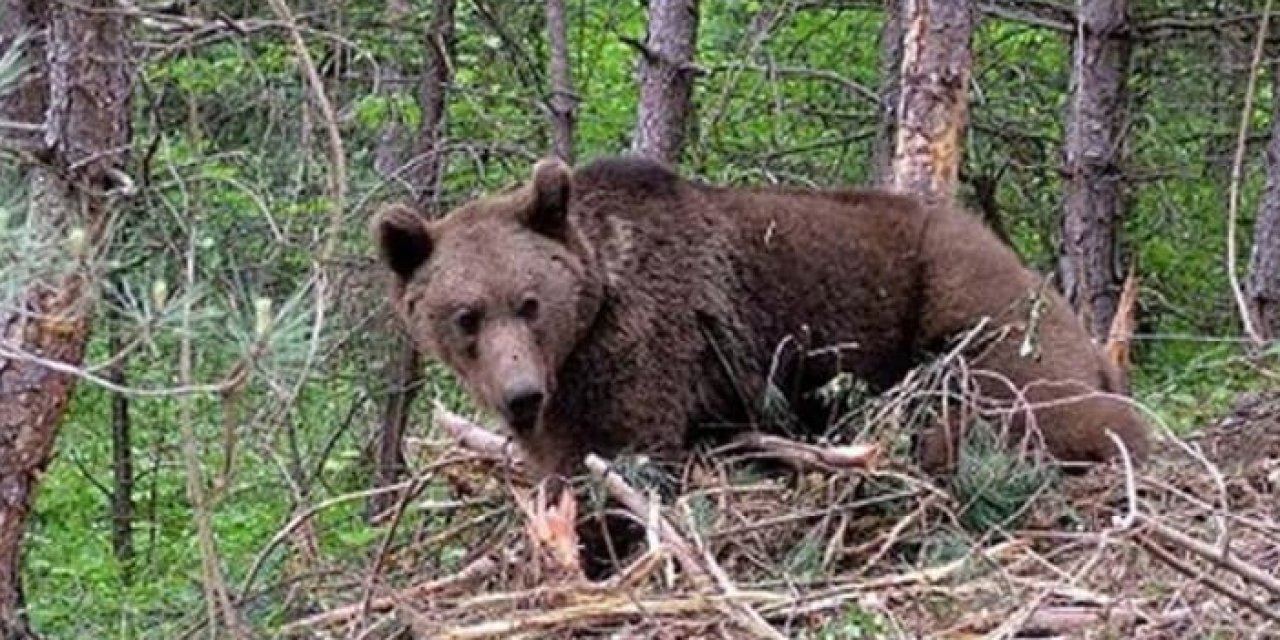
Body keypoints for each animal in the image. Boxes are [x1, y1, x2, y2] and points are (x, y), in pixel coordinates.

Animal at [371, 154, 1152, 481]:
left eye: (530, 303)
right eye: (465, 316)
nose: (520, 395)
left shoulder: (652, 342)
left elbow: (629, 454)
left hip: (971, 308)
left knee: (1018, 404)